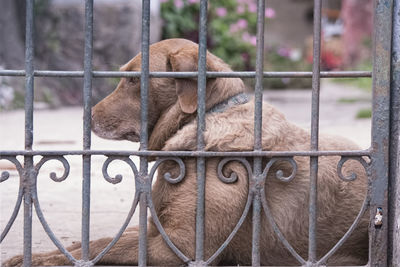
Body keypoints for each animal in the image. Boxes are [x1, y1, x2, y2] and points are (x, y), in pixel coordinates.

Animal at [3, 38, 368, 266]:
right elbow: (98, 239)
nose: (87, 115)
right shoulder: (156, 229)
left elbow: (104, 246)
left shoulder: (179, 246)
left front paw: (36, 258)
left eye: (133, 80)